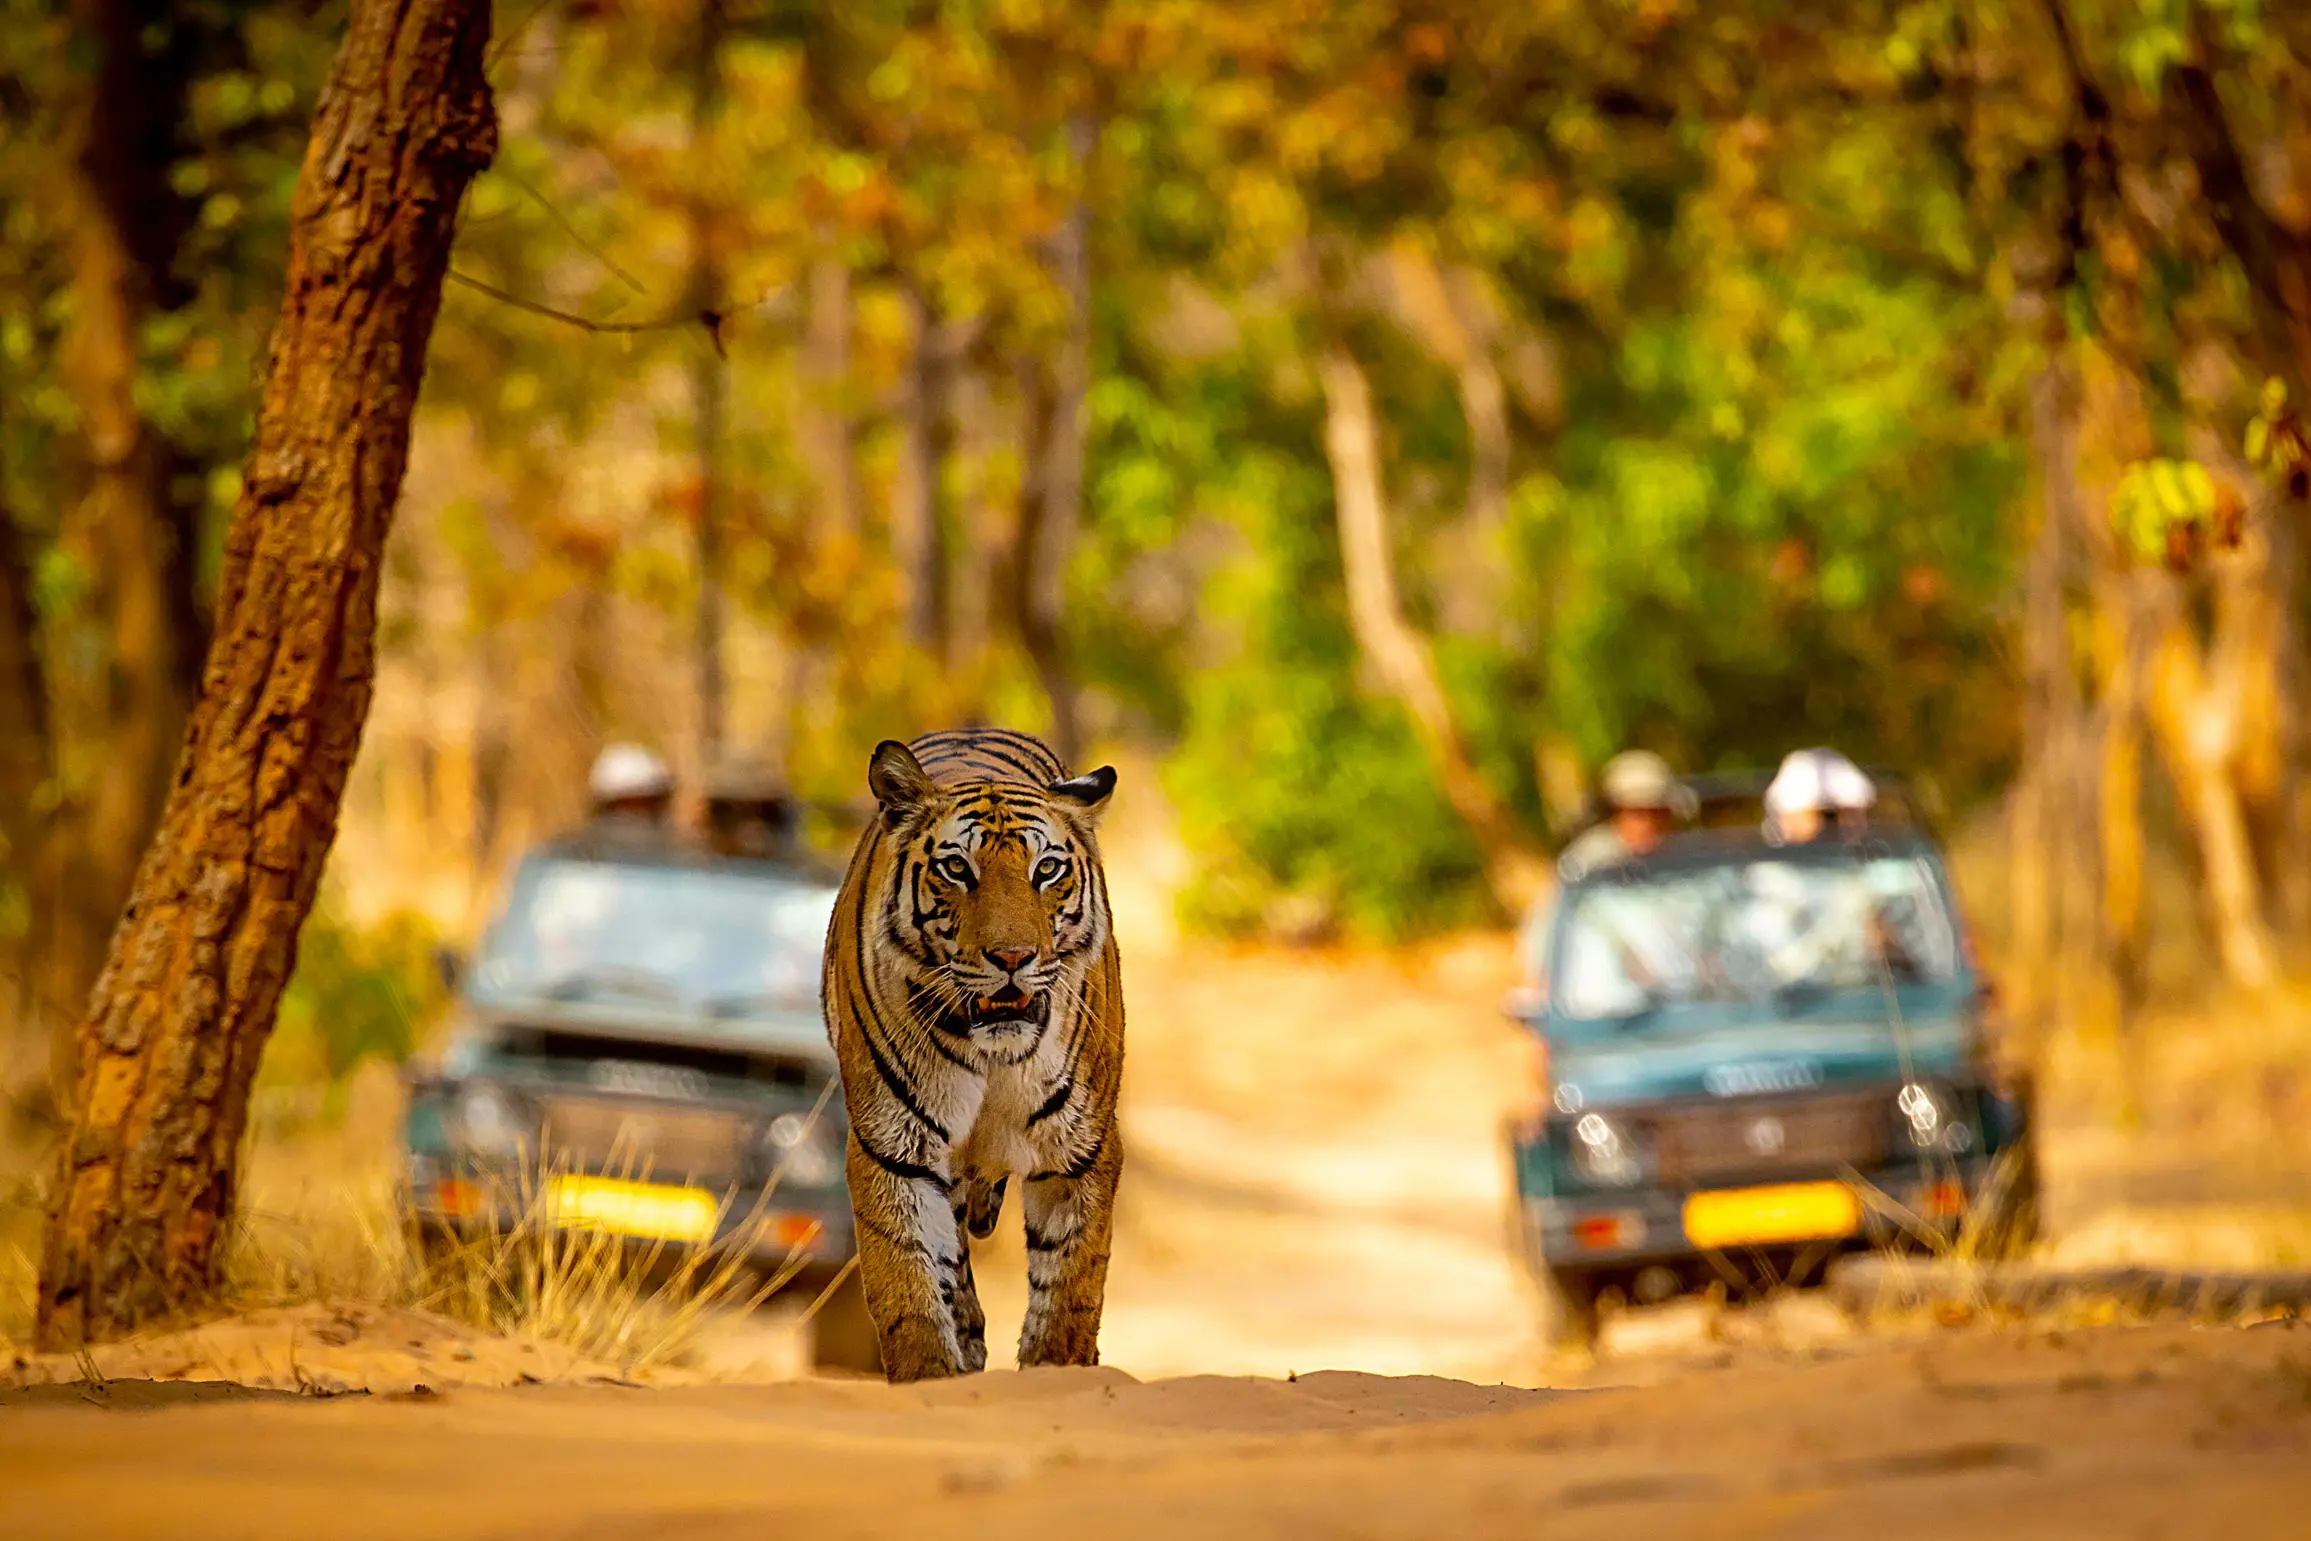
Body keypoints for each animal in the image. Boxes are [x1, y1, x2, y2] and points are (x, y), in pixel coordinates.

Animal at [821, 727, 1125, 1382]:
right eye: (957, 868)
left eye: (1047, 869)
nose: (1013, 957)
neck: (993, 1057)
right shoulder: (894, 1148)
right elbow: (908, 1282)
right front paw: (929, 1374)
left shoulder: (1079, 1149)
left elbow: (1070, 1286)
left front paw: (1057, 1370)